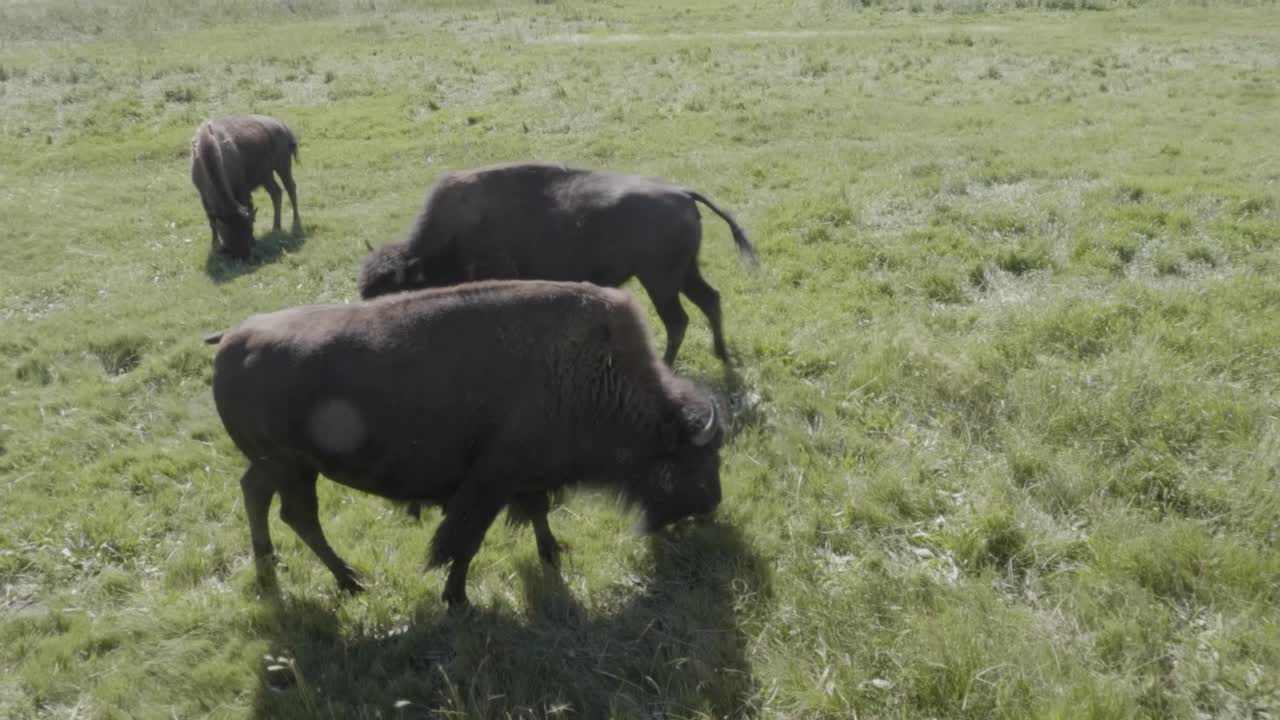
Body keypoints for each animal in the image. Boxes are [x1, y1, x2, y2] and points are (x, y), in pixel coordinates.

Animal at [191, 114, 301, 259]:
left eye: (248, 228)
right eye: (226, 233)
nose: (243, 254)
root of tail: (284, 127)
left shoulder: (242, 188)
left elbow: (248, 204)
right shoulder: (203, 196)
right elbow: (212, 222)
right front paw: (214, 245)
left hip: (282, 166)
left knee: (290, 188)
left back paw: (295, 222)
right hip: (266, 176)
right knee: (276, 193)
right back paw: (276, 227)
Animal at [204, 280, 724, 608]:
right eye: (698, 459)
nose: (713, 504)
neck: (597, 372)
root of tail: (232, 338)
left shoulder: (525, 478)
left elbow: (537, 513)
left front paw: (553, 553)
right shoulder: (488, 485)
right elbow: (464, 543)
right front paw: (457, 599)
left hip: (281, 467)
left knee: (258, 495)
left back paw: (272, 568)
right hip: (292, 468)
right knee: (298, 516)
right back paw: (351, 582)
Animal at [357, 162, 758, 365]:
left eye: (393, 293)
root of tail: (682, 192)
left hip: (659, 281)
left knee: (678, 320)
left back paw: (668, 363)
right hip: (685, 273)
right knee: (709, 300)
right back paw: (721, 355)